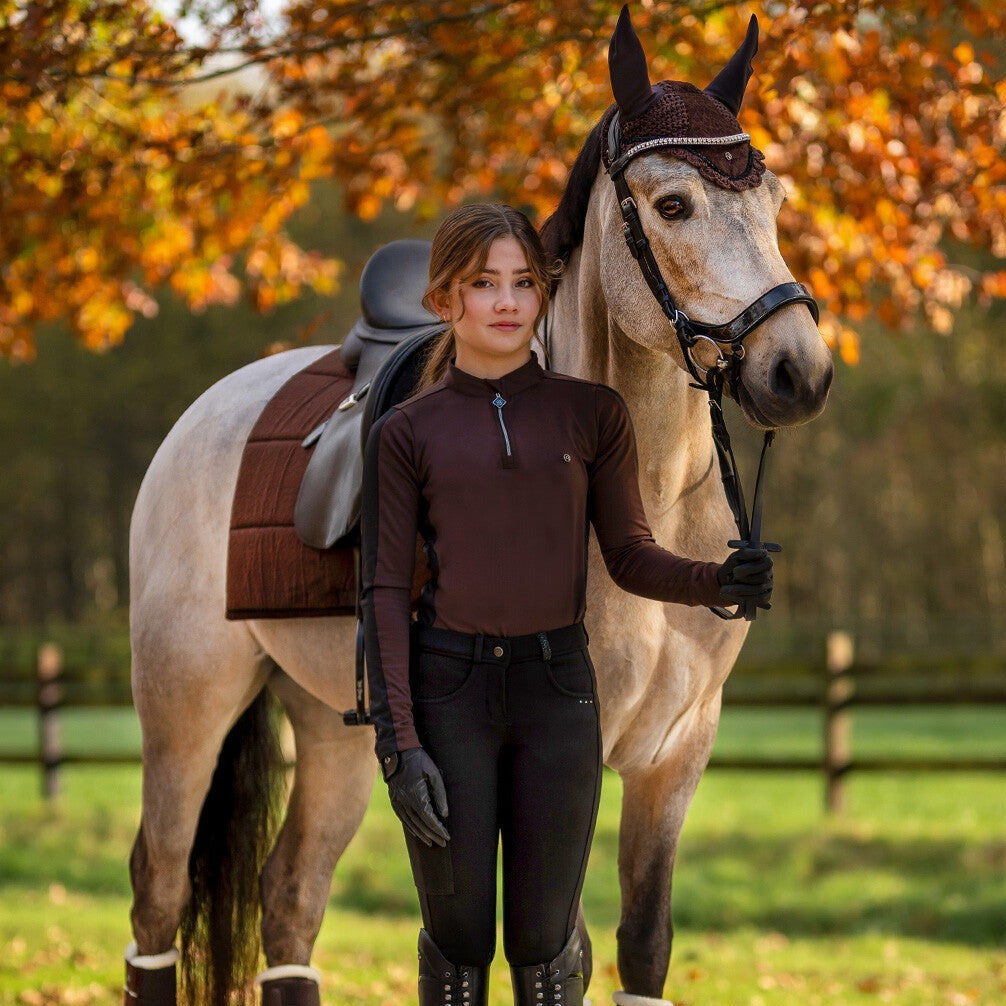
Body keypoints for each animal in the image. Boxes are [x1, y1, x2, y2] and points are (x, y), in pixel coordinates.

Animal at [125, 9, 832, 1006]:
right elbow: (561, 948)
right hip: (188, 701)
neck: (645, 495)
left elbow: (643, 944)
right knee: (158, 889)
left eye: (771, 200)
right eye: (672, 206)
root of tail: (206, 415)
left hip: (340, 730)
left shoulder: (675, 753)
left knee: (291, 898)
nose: (796, 371)